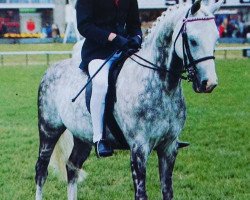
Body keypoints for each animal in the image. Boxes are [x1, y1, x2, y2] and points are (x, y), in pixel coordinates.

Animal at [34, 0, 223, 199]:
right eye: (193, 40)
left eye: (216, 39)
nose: (209, 83)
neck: (162, 86)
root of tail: (50, 69)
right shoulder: (139, 148)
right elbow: (141, 193)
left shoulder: (169, 147)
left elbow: (167, 190)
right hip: (49, 130)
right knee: (41, 170)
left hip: (82, 136)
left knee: (72, 166)